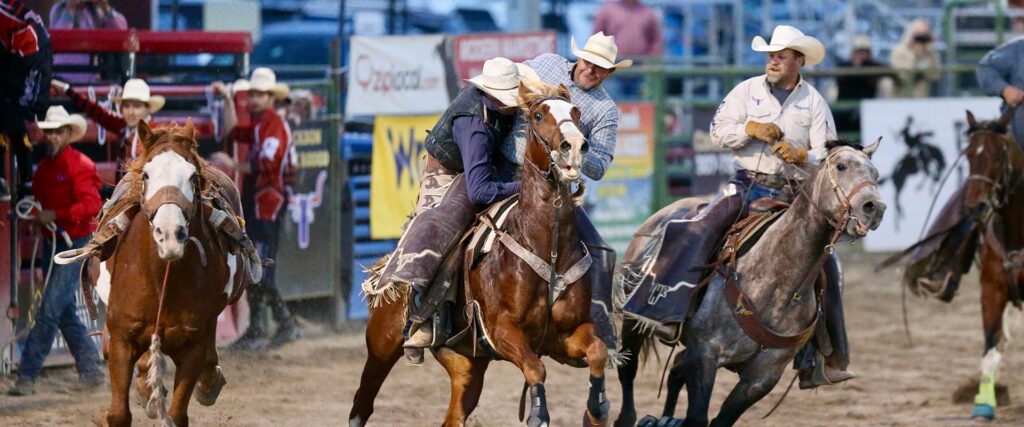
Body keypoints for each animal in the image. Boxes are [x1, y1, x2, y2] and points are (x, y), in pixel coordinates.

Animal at [352, 80, 606, 425]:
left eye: (577, 113)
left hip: (466, 365)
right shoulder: (502, 330)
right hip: (382, 343)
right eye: (538, 115)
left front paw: (597, 406)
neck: (545, 246)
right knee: (362, 404)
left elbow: (597, 351)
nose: (574, 147)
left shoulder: (566, 335)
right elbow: (535, 368)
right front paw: (538, 412)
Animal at [614, 141, 888, 423]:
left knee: (675, 371)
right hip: (633, 320)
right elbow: (697, 416)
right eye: (841, 166)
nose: (874, 208)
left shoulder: (762, 378)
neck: (777, 284)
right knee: (628, 366)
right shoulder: (705, 354)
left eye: (875, 173)